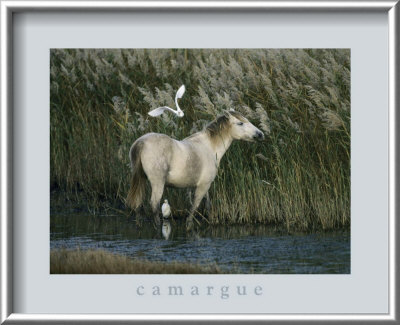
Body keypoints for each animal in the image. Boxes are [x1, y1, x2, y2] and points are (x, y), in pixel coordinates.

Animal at [125, 110, 264, 229]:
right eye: (240, 123)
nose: (260, 134)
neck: (210, 148)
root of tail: (141, 142)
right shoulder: (203, 185)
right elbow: (194, 207)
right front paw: (189, 226)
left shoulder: (200, 186)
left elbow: (207, 205)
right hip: (157, 183)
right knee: (154, 205)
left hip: (141, 180)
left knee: (138, 204)